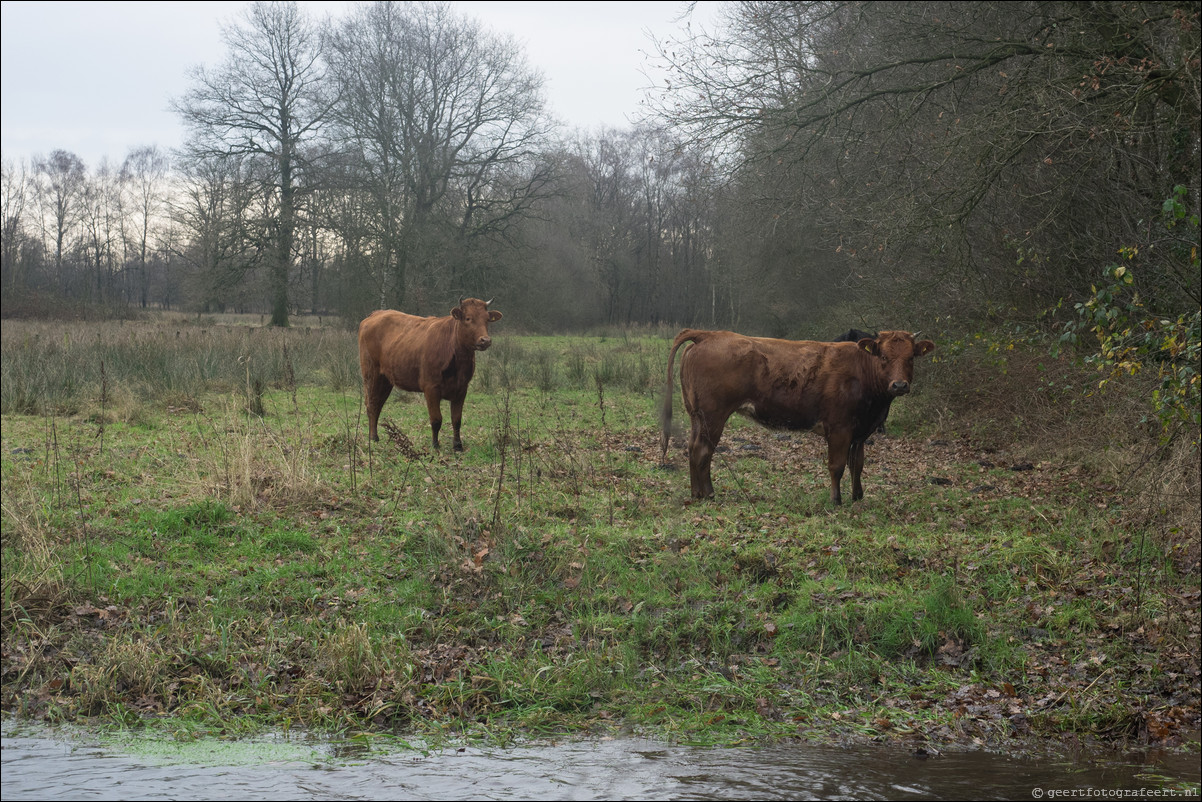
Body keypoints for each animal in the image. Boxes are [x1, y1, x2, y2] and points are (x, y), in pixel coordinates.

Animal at [360, 299, 502, 452]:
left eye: (487, 319)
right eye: (468, 318)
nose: (485, 340)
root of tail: (376, 314)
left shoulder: (462, 389)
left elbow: (456, 420)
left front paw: (458, 445)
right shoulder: (431, 388)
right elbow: (436, 419)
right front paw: (435, 445)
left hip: (385, 379)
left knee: (378, 404)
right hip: (371, 375)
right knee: (372, 404)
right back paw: (373, 437)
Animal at [663, 329, 932, 505]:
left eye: (910, 358)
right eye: (884, 357)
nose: (899, 385)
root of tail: (709, 334)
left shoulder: (861, 432)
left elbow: (858, 464)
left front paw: (858, 497)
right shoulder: (840, 428)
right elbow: (837, 465)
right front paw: (836, 500)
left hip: (697, 416)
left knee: (694, 448)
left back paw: (698, 493)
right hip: (713, 415)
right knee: (703, 450)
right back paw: (707, 494)